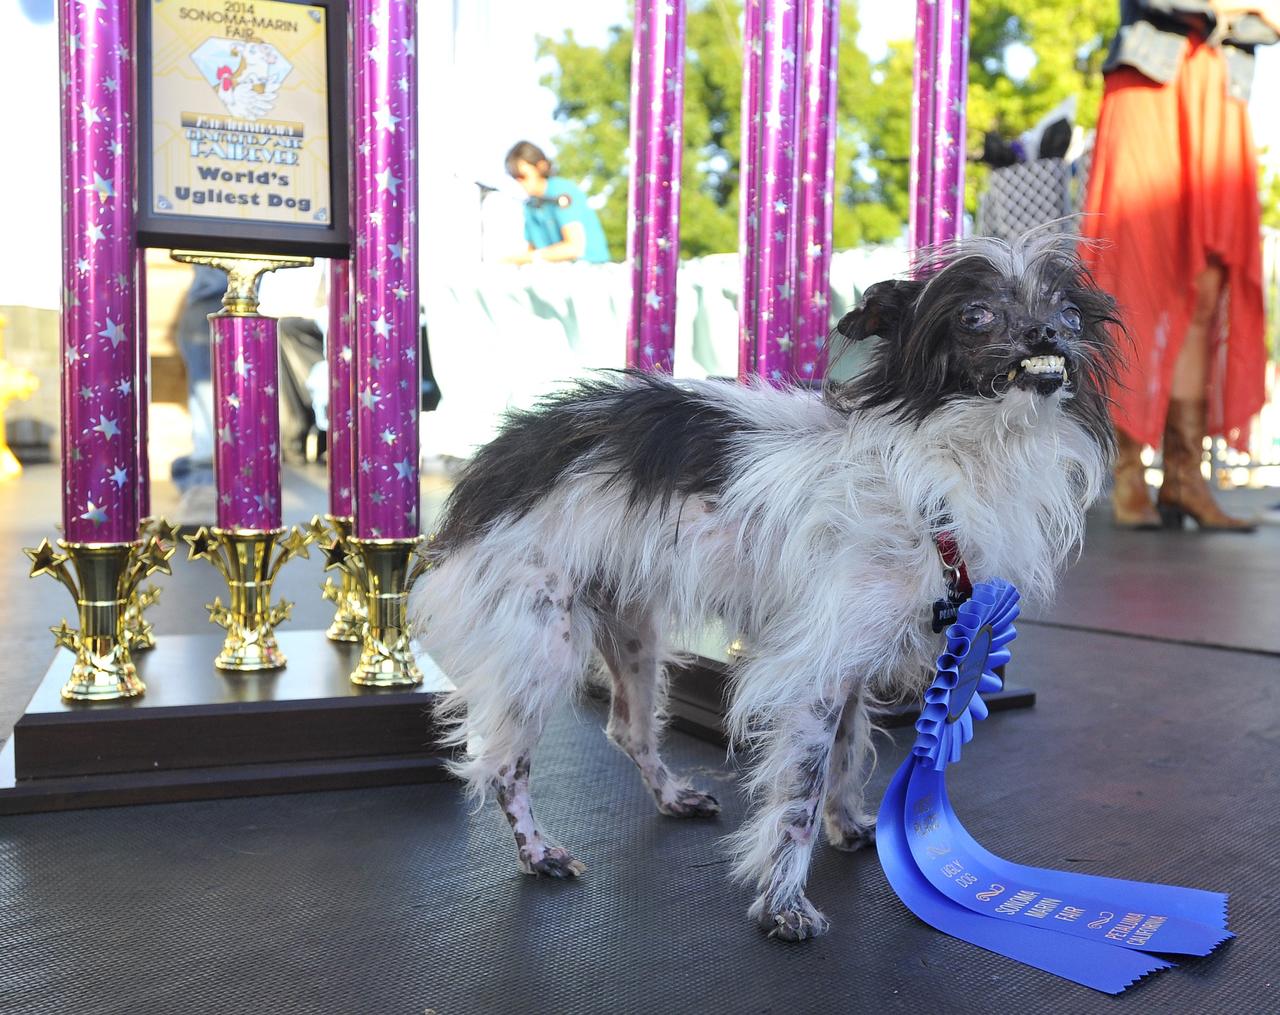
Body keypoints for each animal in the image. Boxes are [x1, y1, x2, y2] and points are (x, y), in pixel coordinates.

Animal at [409, 234, 1121, 936]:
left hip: (633, 631)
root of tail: (497, 460)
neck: (950, 462)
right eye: (976, 315)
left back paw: (672, 796)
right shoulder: (812, 673)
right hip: (540, 646)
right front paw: (785, 904)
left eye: (1070, 315)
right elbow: (800, 792)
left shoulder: (850, 660)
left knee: (629, 731)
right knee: (502, 764)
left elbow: (845, 753)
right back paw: (539, 853)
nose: (1047, 334)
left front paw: (848, 827)